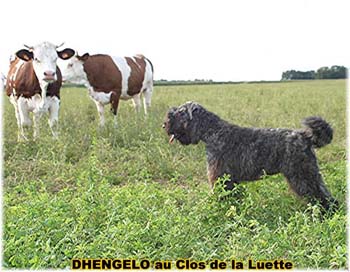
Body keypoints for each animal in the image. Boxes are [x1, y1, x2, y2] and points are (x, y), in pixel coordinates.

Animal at [164, 102, 340, 210]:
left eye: (180, 113)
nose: (164, 124)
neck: (212, 132)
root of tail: (305, 136)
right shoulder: (230, 181)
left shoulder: (220, 178)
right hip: (309, 175)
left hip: (302, 176)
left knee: (321, 196)